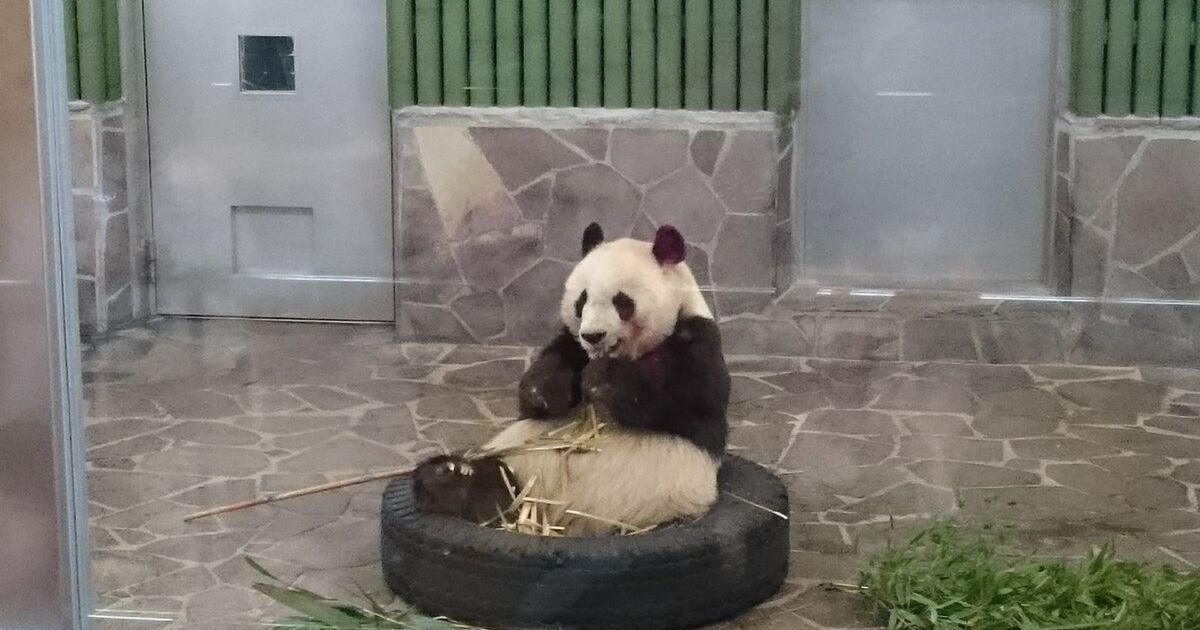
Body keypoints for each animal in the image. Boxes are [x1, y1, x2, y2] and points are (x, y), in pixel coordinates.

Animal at [412, 220, 729, 535]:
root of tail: (559, 520)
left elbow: (688, 403)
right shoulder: (570, 342)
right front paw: (543, 392)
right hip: (520, 466)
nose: (593, 335)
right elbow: (541, 386)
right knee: (495, 484)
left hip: (660, 505)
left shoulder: (697, 342)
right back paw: (450, 477)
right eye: (582, 299)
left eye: (622, 302)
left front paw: (603, 379)